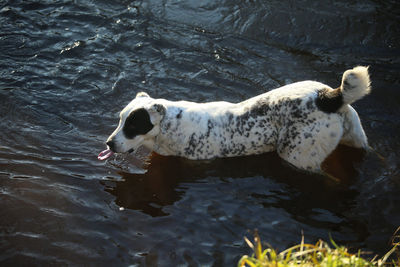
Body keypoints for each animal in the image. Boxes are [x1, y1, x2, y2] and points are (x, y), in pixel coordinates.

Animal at [99, 66, 372, 174]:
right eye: (120, 120)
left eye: (133, 125)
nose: (109, 144)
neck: (172, 125)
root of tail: (329, 96)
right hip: (355, 137)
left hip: (298, 155)